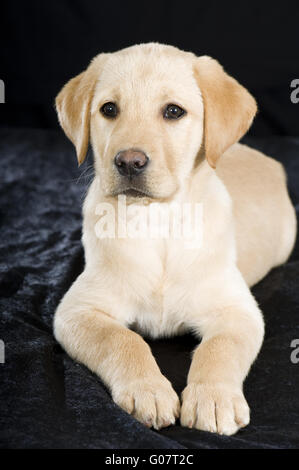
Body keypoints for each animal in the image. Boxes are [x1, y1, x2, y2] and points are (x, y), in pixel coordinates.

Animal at [54, 42, 298, 436]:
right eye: (109, 109)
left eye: (173, 111)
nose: (129, 162)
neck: (158, 221)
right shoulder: (77, 311)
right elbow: (123, 339)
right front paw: (148, 390)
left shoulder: (237, 311)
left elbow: (220, 349)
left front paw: (213, 398)